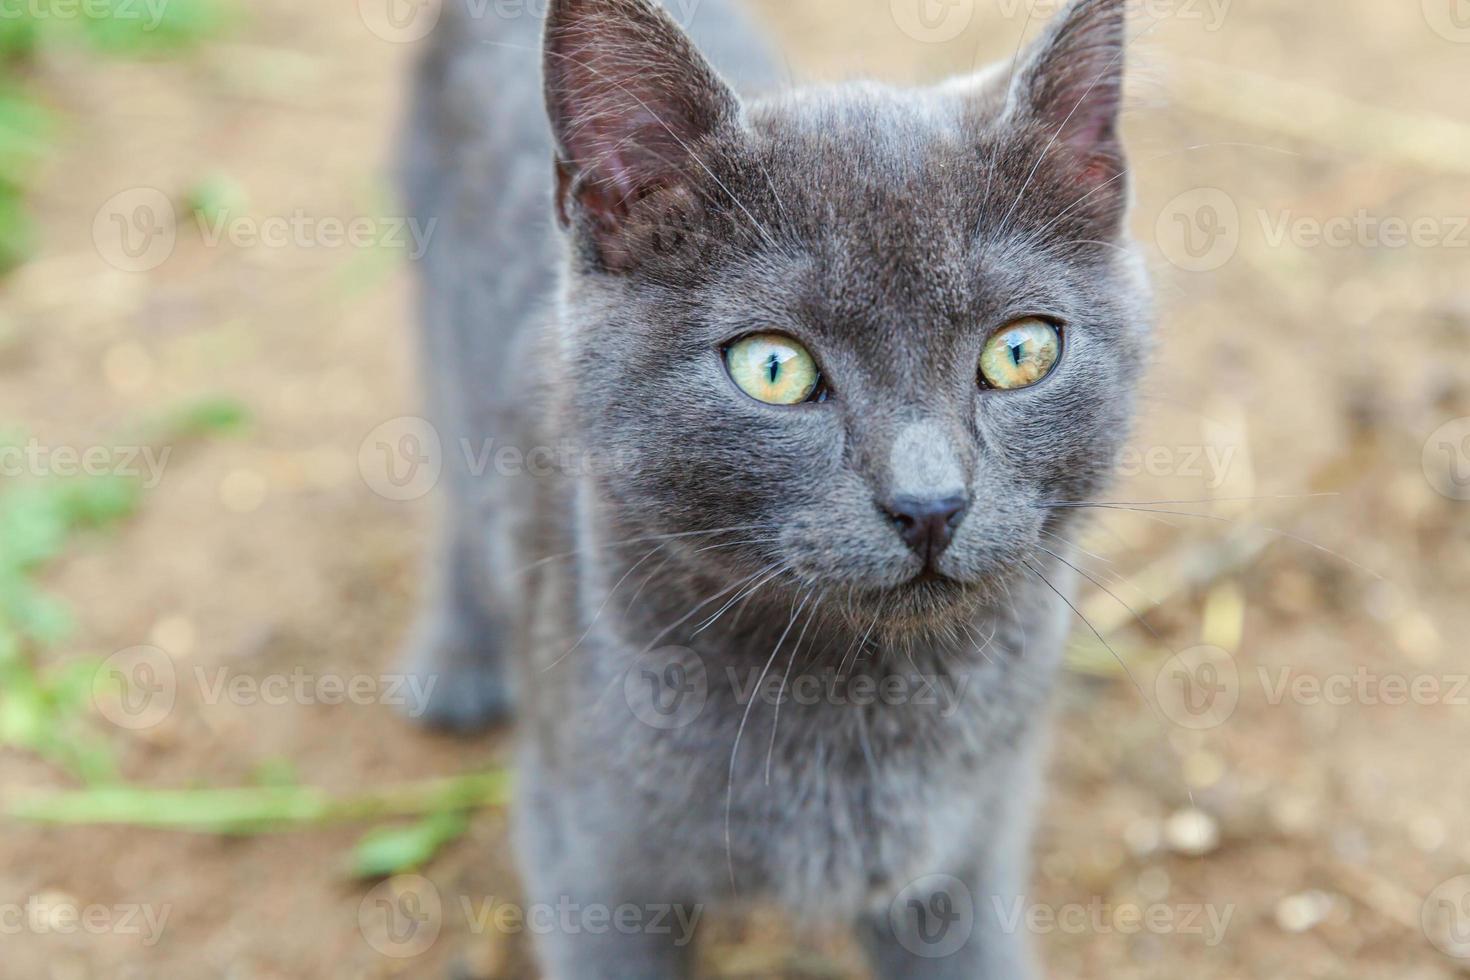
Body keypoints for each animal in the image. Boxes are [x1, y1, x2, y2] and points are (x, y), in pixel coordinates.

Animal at [399, 1, 1146, 975]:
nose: (931, 505)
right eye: (774, 369)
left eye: (1020, 352)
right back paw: (456, 664)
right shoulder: (588, 867)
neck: (861, 705)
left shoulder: (968, 853)